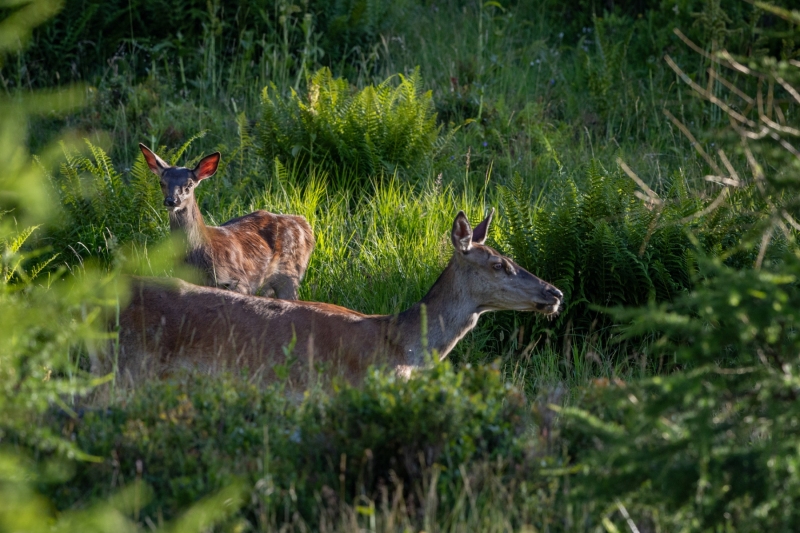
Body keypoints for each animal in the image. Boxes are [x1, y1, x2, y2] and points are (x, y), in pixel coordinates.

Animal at [139, 143, 315, 299]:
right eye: (162, 183)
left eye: (189, 184)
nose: (171, 201)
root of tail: (305, 226)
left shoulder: (239, 281)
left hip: (289, 273)